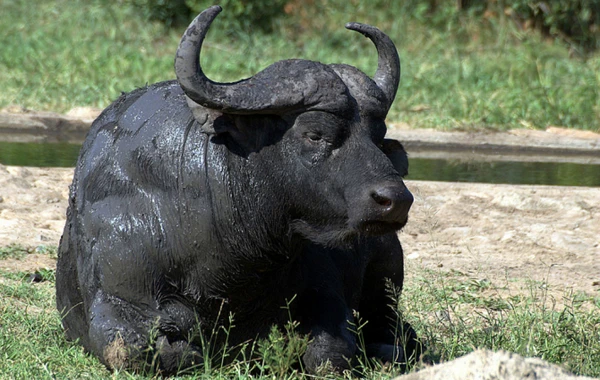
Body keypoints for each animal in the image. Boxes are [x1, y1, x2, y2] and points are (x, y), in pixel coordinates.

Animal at [57, 4, 422, 376]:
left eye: (378, 136)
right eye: (315, 134)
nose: (395, 201)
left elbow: (330, 352)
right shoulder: (118, 300)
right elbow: (132, 350)